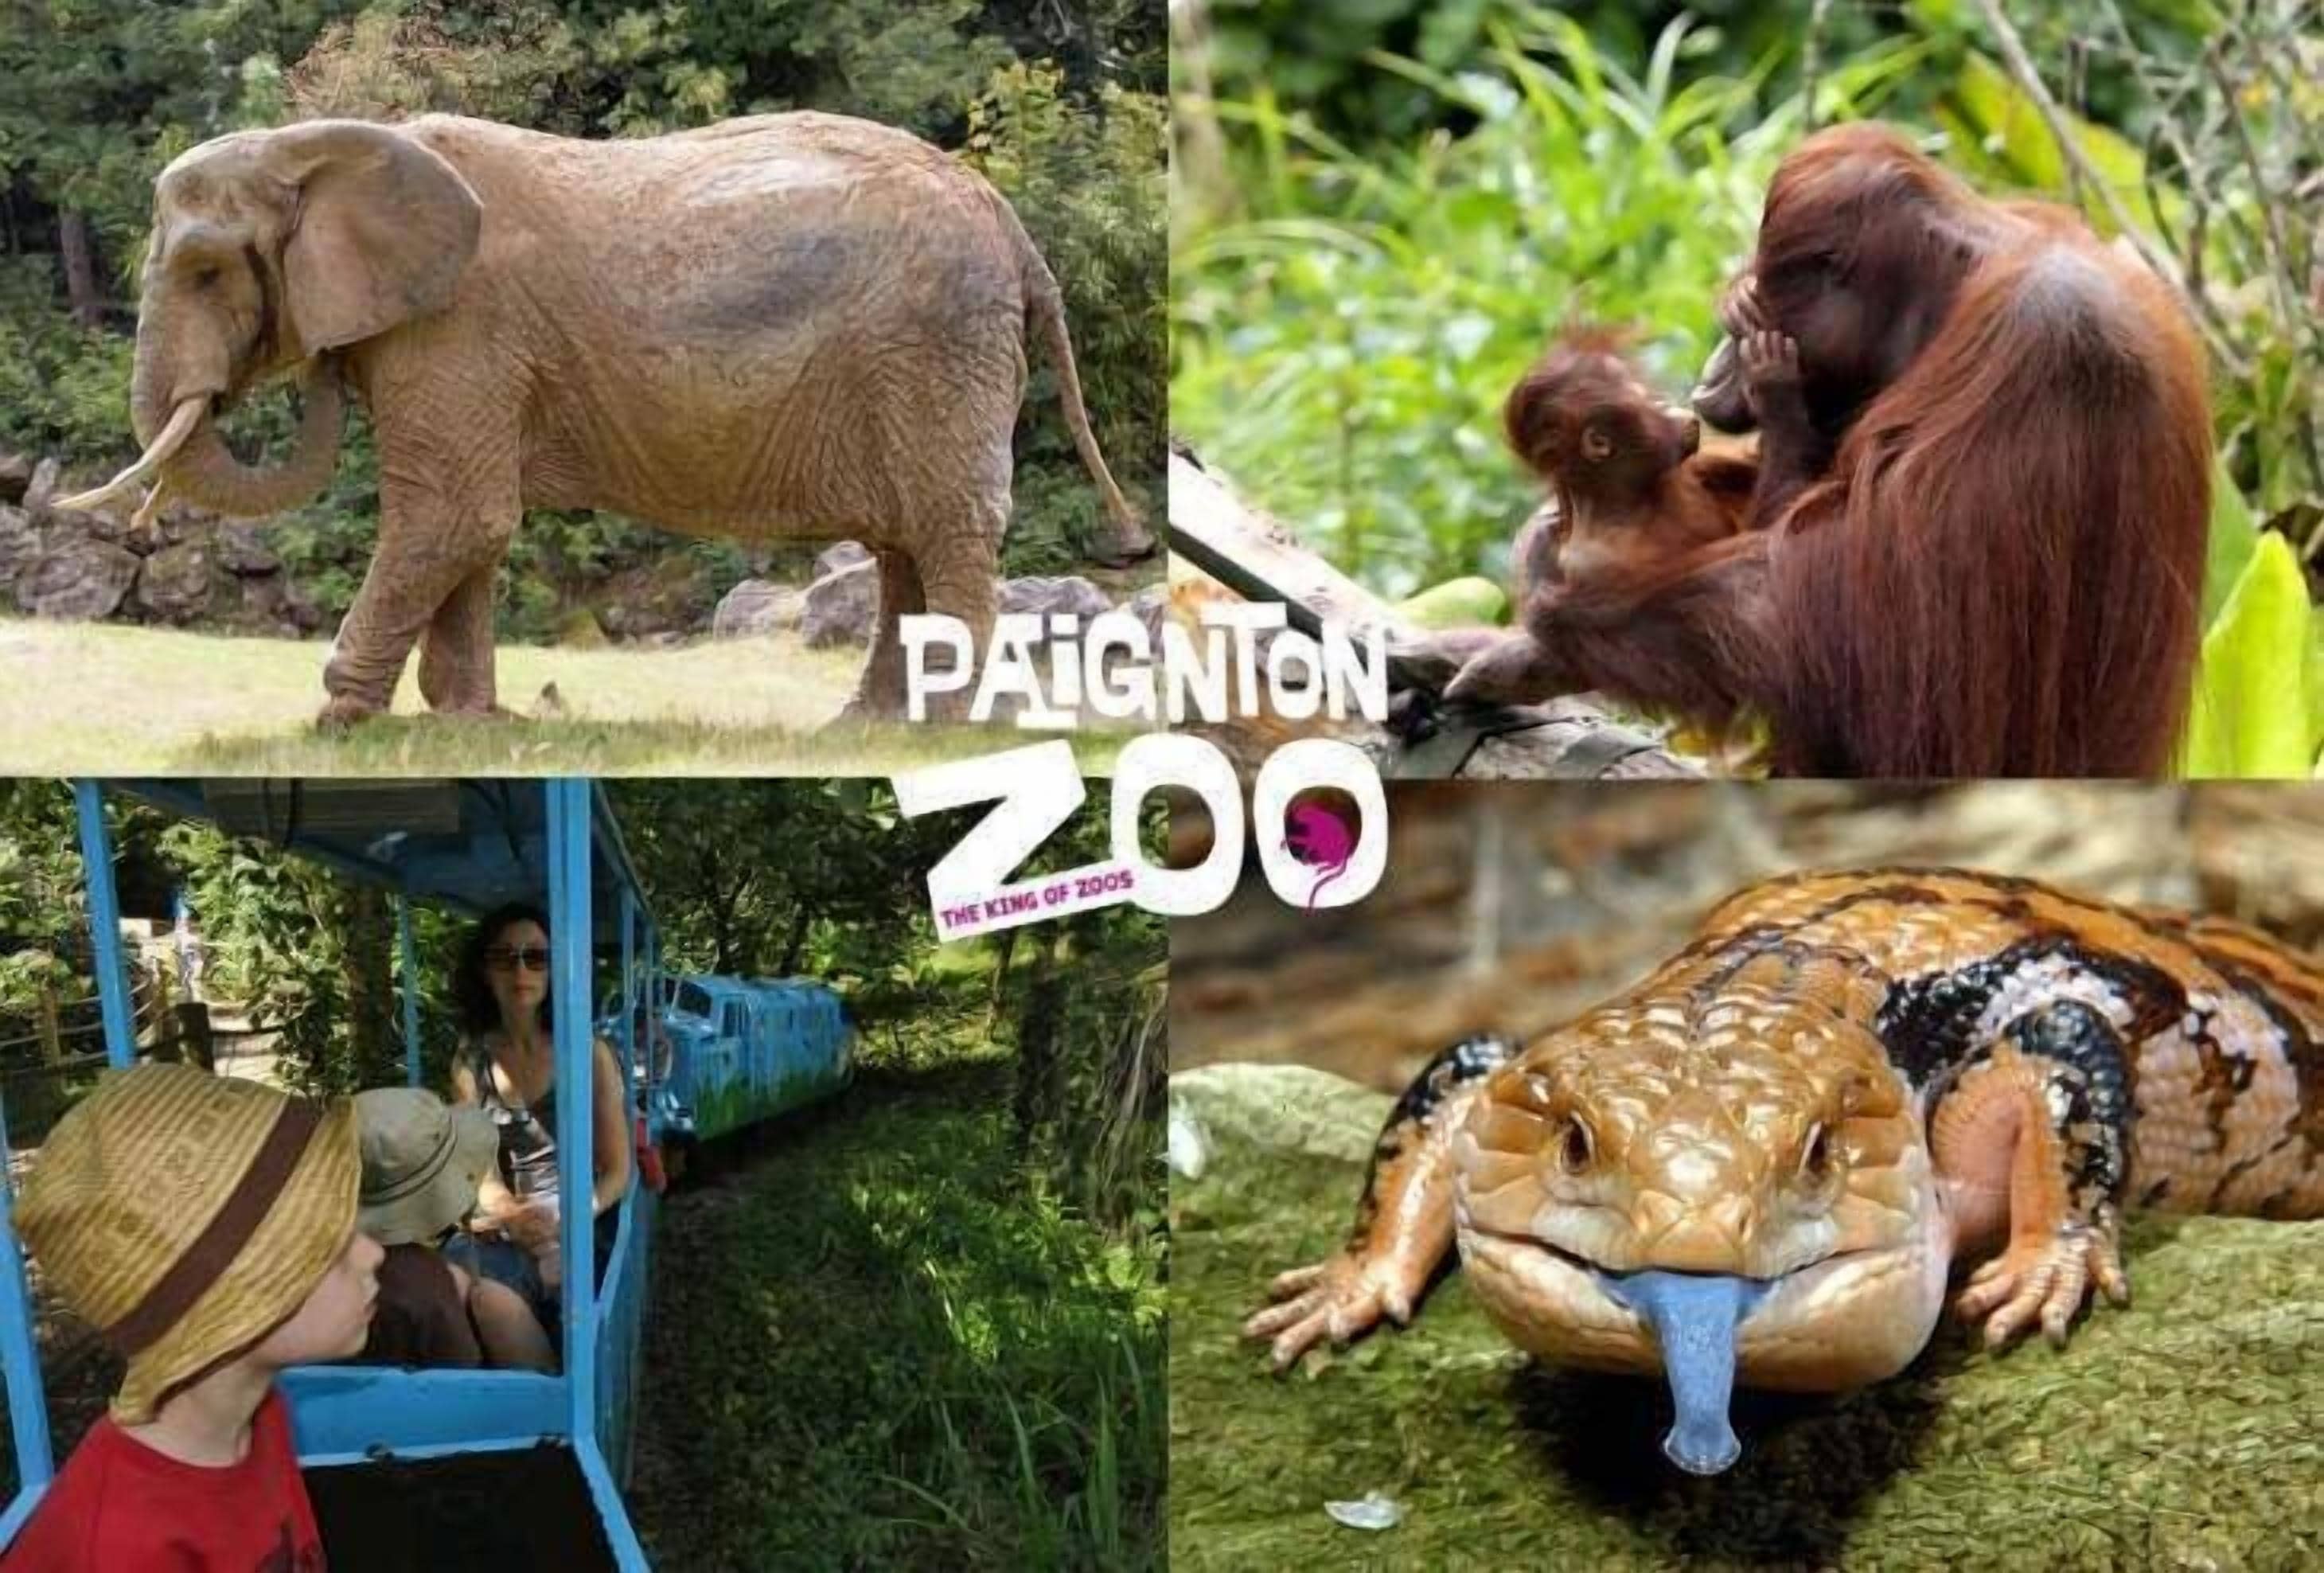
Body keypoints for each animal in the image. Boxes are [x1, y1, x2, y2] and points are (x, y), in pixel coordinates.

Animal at [61, 112, 1154, 725]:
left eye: (206, 271)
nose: (128, 520)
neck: (321, 141)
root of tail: (1013, 225)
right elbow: (472, 525)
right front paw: (473, 726)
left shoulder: (460, 325)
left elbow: (452, 514)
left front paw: (336, 721)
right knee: (902, 545)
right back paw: (867, 728)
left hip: (935, 348)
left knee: (945, 530)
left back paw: (940, 729)